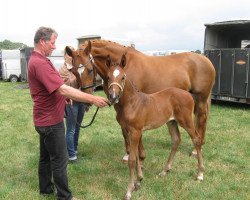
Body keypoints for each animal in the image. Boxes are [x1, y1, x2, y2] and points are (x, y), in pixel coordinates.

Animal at [106, 54, 205, 200]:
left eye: (123, 77)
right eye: (107, 77)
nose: (113, 96)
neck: (131, 103)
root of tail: (189, 94)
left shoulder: (135, 131)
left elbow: (132, 159)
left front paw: (129, 190)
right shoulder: (128, 130)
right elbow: (136, 157)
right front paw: (139, 181)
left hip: (186, 121)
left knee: (196, 139)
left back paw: (200, 174)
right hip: (171, 122)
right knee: (176, 140)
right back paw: (165, 170)